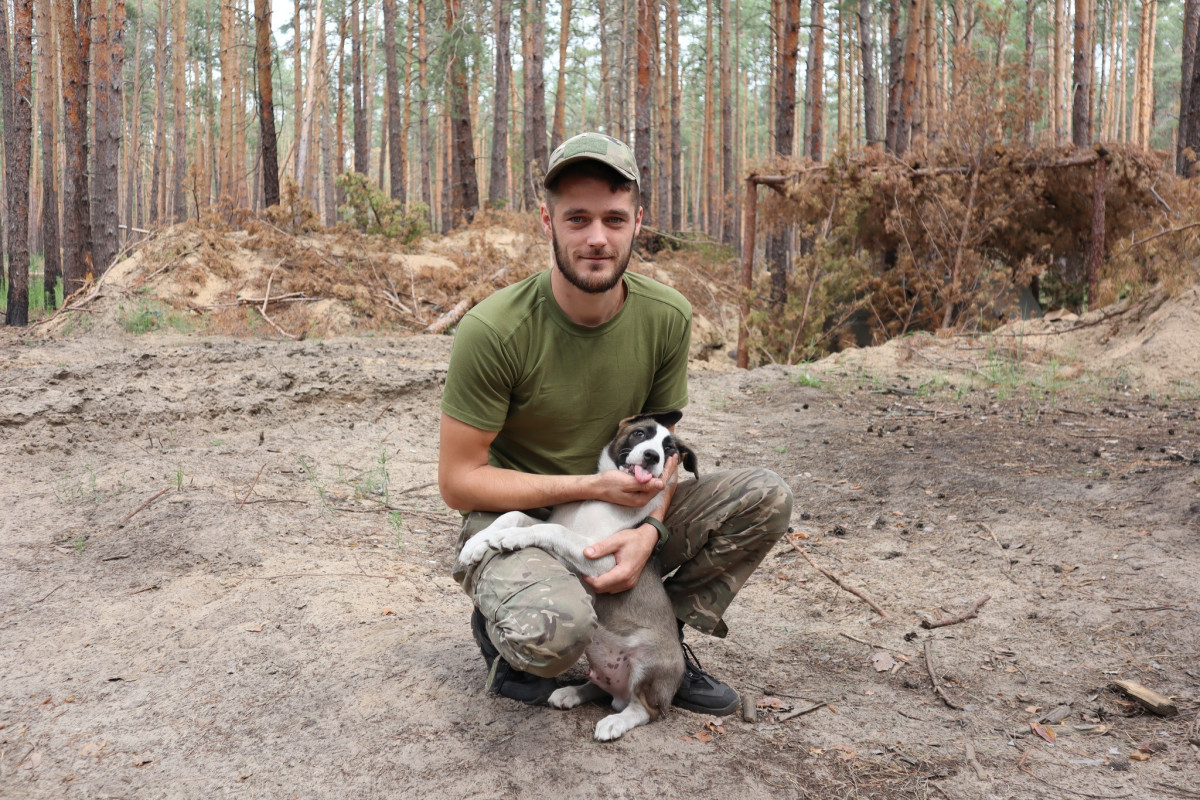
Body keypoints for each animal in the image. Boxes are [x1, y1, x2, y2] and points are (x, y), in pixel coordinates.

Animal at [460, 412, 700, 743]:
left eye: (670, 449)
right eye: (640, 433)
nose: (653, 456)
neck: (599, 502)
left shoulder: (602, 560)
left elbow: (552, 530)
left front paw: (508, 538)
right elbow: (514, 515)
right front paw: (477, 542)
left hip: (650, 660)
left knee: (645, 711)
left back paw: (614, 722)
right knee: (602, 688)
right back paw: (570, 693)